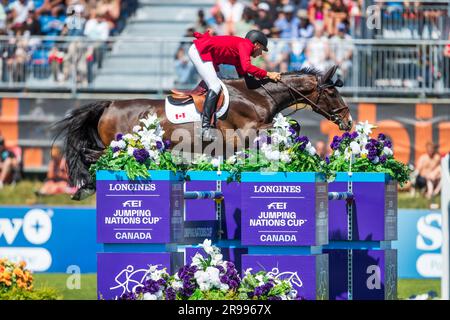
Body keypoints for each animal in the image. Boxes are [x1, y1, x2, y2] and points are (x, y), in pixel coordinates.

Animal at [54, 65, 354, 200]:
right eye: (331, 92)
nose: (348, 122)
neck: (258, 95)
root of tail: (109, 103)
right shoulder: (246, 131)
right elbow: (292, 127)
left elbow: (291, 127)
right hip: (121, 144)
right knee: (92, 154)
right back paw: (87, 185)